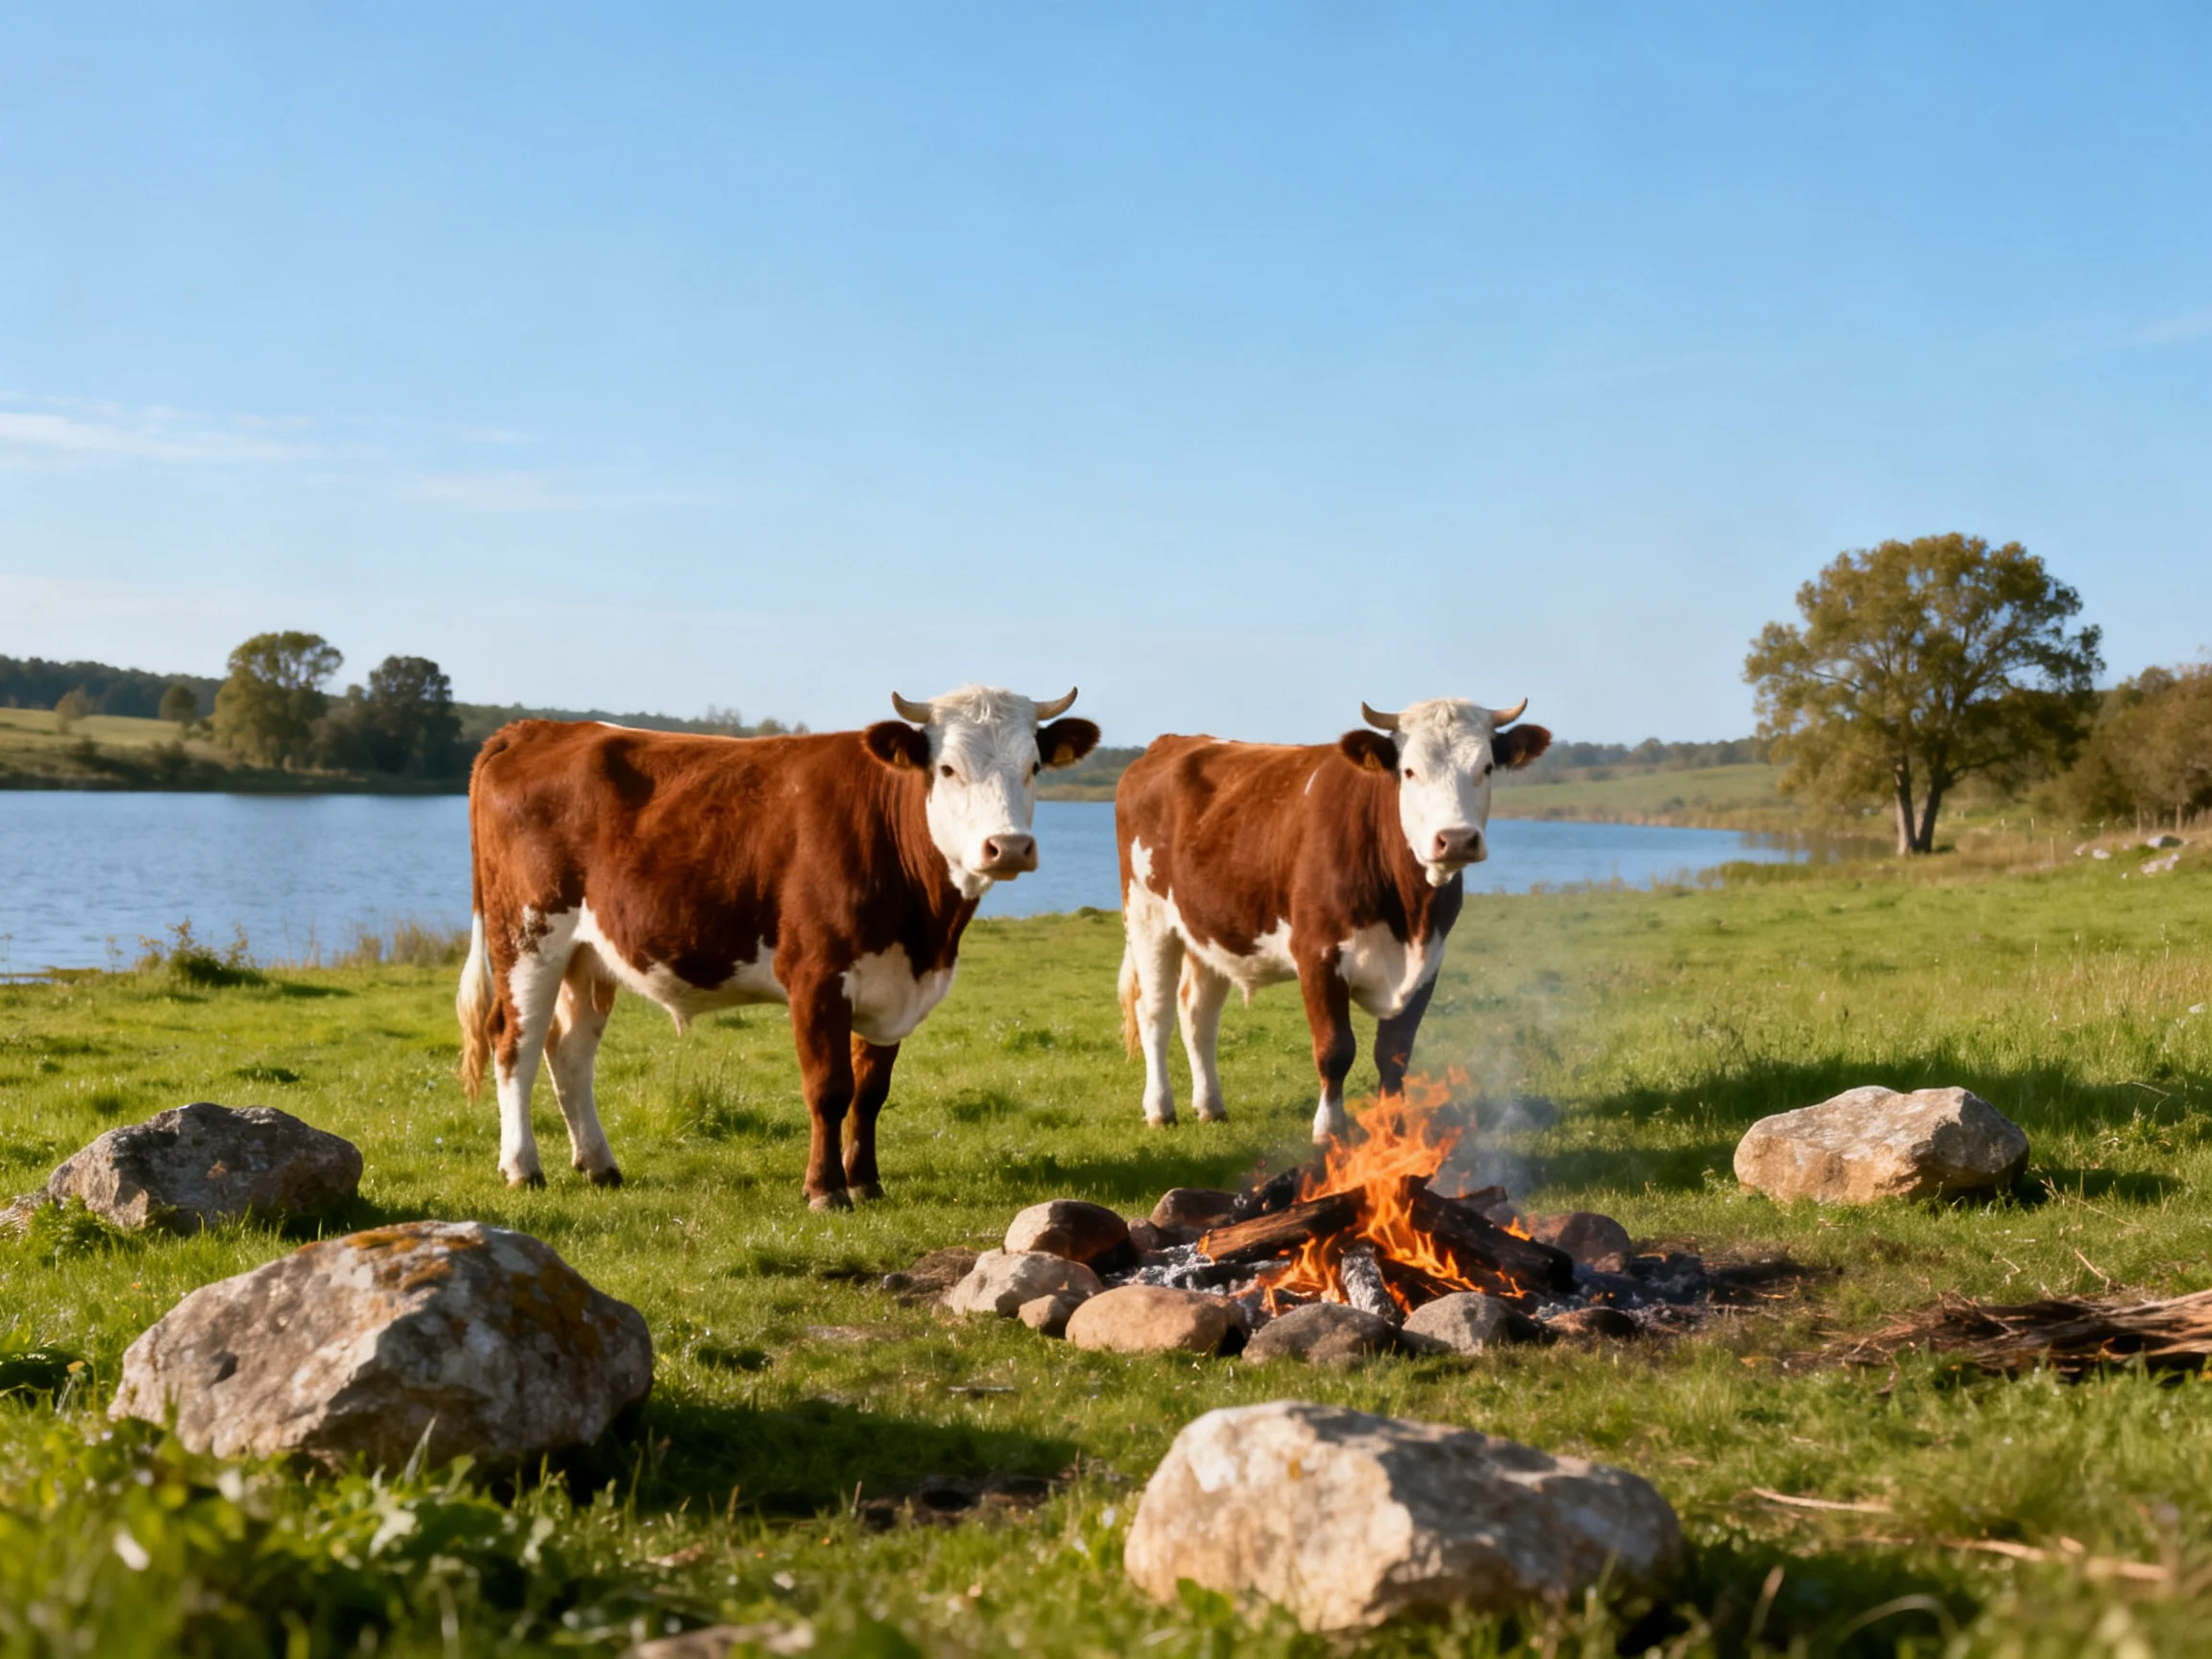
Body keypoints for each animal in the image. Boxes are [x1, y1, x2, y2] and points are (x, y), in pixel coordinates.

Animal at [457, 686, 1099, 1209]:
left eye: (1034, 766)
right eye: (947, 768)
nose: (1008, 846)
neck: (926, 930)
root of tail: (538, 728)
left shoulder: (890, 983)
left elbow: (871, 1092)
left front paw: (866, 1182)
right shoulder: (816, 977)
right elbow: (830, 1089)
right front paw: (825, 1191)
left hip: (589, 957)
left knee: (568, 1050)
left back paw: (599, 1165)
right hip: (527, 937)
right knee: (514, 1042)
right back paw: (523, 1168)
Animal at [1114, 697, 1550, 1143]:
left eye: (1486, 767)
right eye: (1410, 770)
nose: (1457, 839)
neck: (1409, 913)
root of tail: (1170, 743)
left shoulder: (1427, 964)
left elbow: (1394, 1054)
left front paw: (1394, 1131)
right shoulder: (1318, 956)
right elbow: (1335, 1049)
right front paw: (1329, 1130)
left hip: (1209, 929)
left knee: (1198, 1015)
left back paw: (1210, 1106)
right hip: (1148, 917)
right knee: (1156, 1013)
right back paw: (1160, 1108)